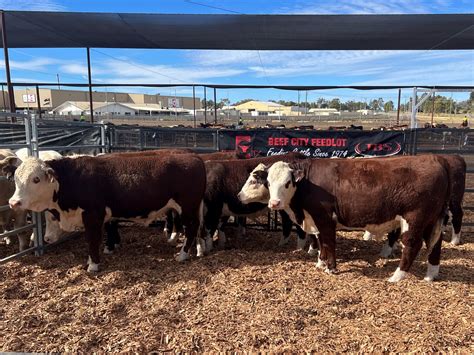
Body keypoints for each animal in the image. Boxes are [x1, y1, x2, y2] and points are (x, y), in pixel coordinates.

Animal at [9, 153, 206, 272]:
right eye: (16, 179)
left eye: (36, 179)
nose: (13, 202)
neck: (72, 179)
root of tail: (194, 156)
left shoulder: (92, 215)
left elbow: (92, 239)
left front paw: (93, 265)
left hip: (188, 207)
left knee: (191, 228)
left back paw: (182, 254)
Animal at [244, 156, 452, 284]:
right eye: (268, 182)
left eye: (287, 183)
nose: (274, 203)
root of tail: (436, 160)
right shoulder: (316, 220)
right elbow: (321, 241)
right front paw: (320, 263)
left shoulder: (325, 218)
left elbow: (328, 242)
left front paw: (331, 268)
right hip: (432, 220)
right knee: (435, 244)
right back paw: (431, 275)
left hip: (415, 218)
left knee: (412, 244)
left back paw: (396, 276)